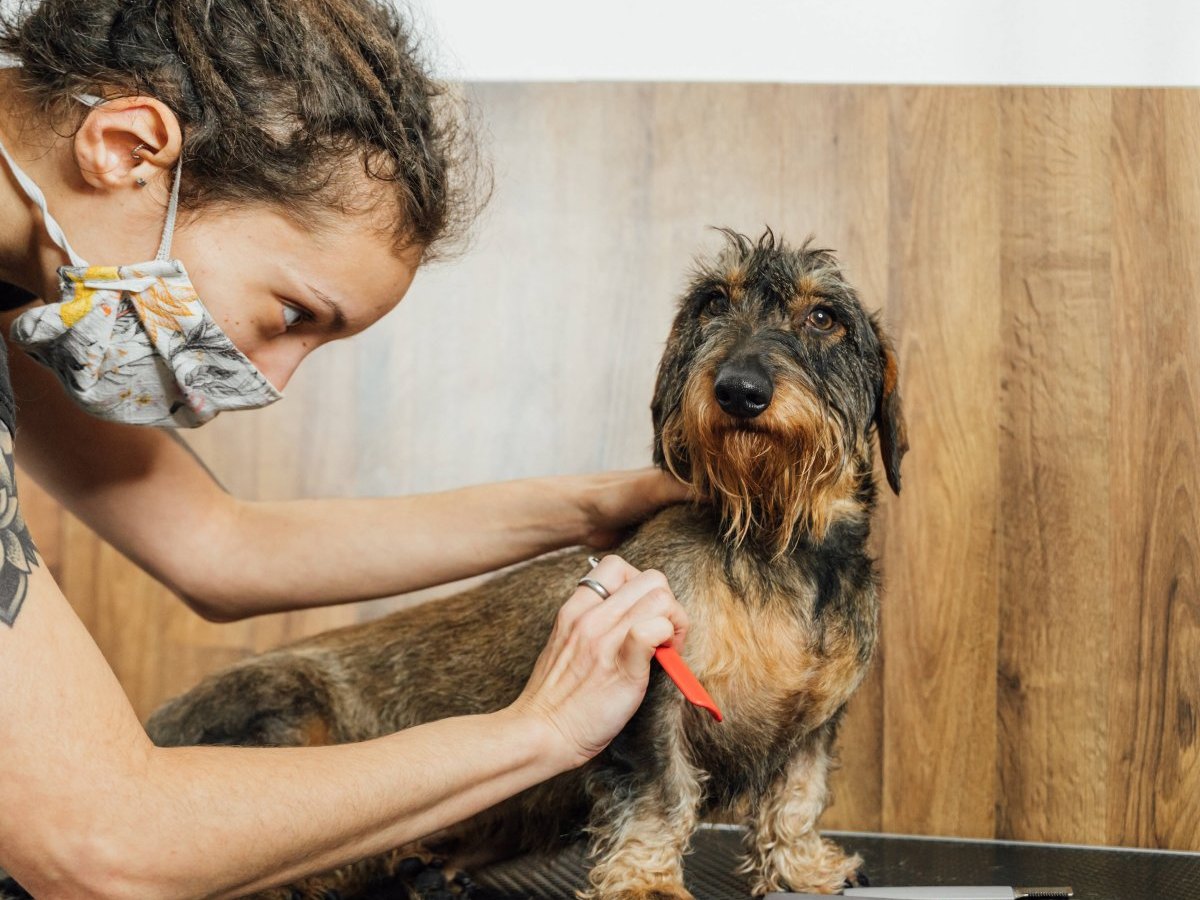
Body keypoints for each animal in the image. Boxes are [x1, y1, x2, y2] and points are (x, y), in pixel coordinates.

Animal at [145, 229, 902, 897]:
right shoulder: (649, 705)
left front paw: (803, 868)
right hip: (284, 710)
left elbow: (797, 798)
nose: (739, 390)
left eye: (824, 317)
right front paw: (646, 884)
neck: (781, 546)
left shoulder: (813, 728)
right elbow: (661, 797)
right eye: (714, 302)